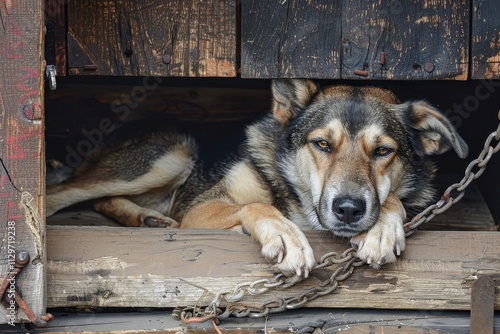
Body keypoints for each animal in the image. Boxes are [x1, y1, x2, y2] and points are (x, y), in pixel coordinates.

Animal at [47, 80, 468, 276]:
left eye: (382, 151)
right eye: (322, 144)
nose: (348, 209)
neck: (300, 202)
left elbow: (393, 199)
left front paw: (381, 228)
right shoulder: (199, 210)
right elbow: (256, 203)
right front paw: (284, 234)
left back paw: (148, 218)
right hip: (169, 158)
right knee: (65, 193)